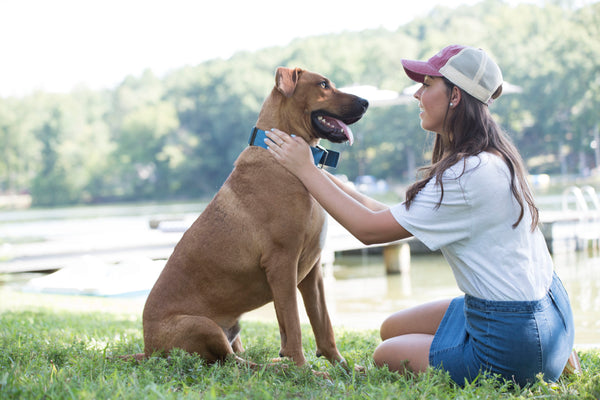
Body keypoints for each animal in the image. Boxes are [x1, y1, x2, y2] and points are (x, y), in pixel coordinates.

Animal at [142, 67, 366, 370]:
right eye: (323, 84)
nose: (366, 102)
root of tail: (147, 349)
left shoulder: (312, 270)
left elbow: (323, 324)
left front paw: (342, 366)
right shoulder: (282, 264)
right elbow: (293, 326)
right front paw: (305, 370)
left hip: (232, 329)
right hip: (203, 326)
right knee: (235, 364)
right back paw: (277, 366)